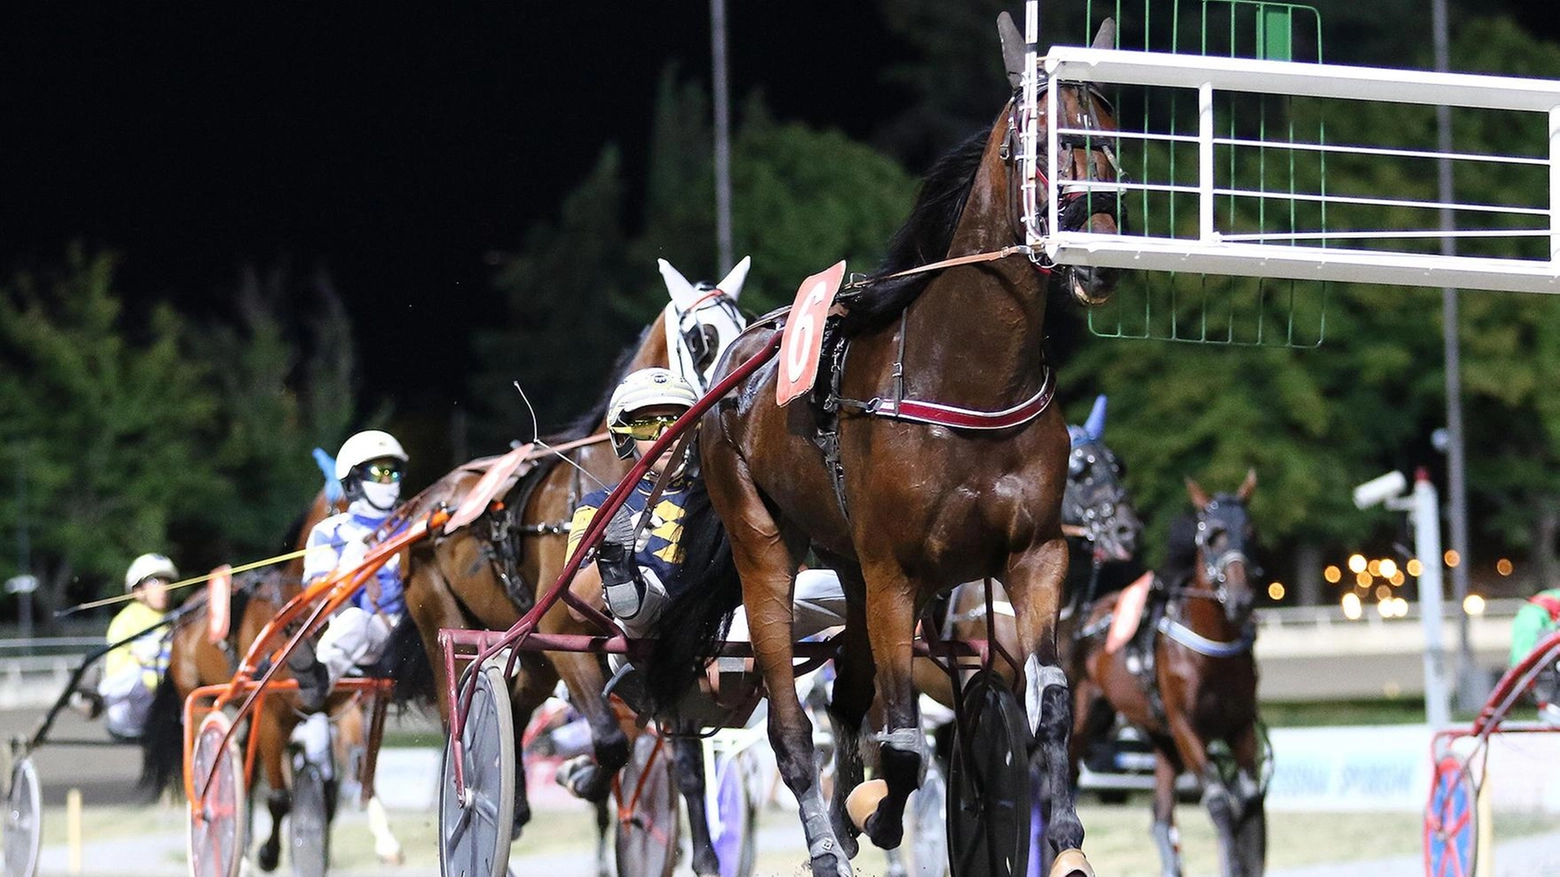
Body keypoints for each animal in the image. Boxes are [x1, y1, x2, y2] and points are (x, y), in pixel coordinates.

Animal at [396, 255, 748, 867]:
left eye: (744, 320)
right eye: (702, 339)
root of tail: (428, 503)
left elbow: (683, 763)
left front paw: (704, 856)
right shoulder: (565, 631)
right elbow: (609, 737)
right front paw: (582, 774)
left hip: (531, 653)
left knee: (515, 699)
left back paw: (516, 806)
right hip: (443, 613)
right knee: (456, 713)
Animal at [642, 15, 1123, 873]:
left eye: (1112, 131)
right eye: (1039, 137)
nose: (1095, 255)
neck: (966, 376)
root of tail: (740, 363)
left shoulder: (1034, 553)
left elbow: (1049, 704)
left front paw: (1064, 840)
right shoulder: (896, 570)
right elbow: (901, 742)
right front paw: (879, 807)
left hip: (847, 564)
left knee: (847, 700)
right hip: (765, 544)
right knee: (793, 723)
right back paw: (825, 837)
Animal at [1073, 471, 1266, 873]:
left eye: (1251, 532)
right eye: (1213, 535)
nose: (1241, 599)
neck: (1213, 650)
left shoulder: (1240, 726)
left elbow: (1248, 800)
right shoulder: (1185, 726)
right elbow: (1220, 803)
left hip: (1159, 738)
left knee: (1161, 812)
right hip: (1086, 718)